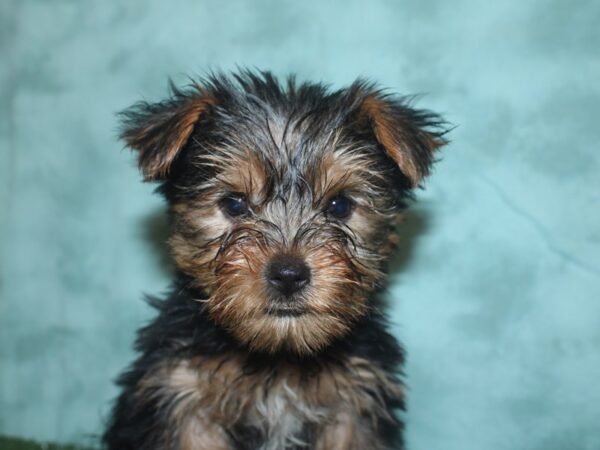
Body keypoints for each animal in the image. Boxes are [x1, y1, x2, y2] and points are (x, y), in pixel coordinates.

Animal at [104, 69, 446, 450]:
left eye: (339, 206)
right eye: (234, 204)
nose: (288, 274)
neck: (278, 357)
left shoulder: (356, 404)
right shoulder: (181, 393)